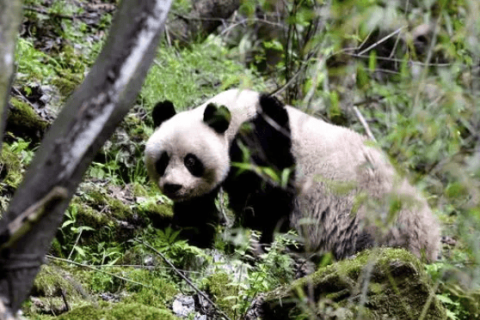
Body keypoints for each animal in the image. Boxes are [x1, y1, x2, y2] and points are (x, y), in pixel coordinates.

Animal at [144, 89, 440, 262]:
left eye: (191, 161)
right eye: (163, 160)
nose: (173, 186)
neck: (235, 115)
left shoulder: (264, 139)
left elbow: (265, 198)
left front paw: (248, 242)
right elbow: (200, 204)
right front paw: (191, 235)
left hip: (378, 219)